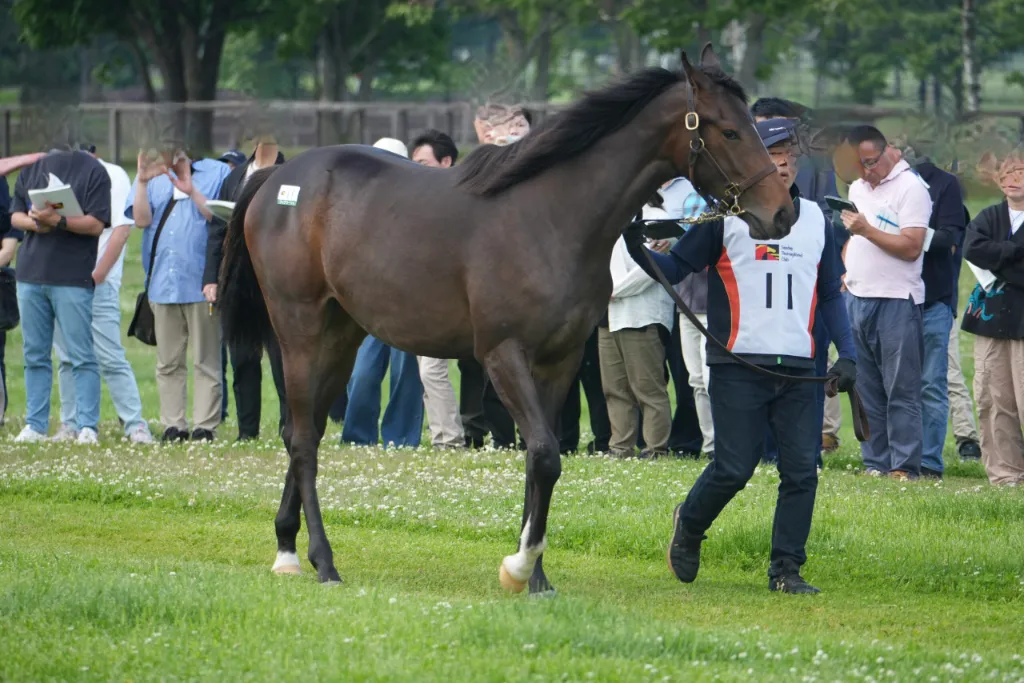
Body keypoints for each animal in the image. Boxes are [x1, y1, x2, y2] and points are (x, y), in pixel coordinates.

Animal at [218, 44, 796, 595]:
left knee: (309, 429)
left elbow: (540, 463)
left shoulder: (560, 360)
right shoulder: (502, 354)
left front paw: (533, 575)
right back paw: (320, 560)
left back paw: (287, 547)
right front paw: (519, 566)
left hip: (343, 334)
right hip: (299, 331)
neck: (552, 216)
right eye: (729, 130)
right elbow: (544, 455)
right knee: (300, 438)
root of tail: (278, 177)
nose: (782, 213)